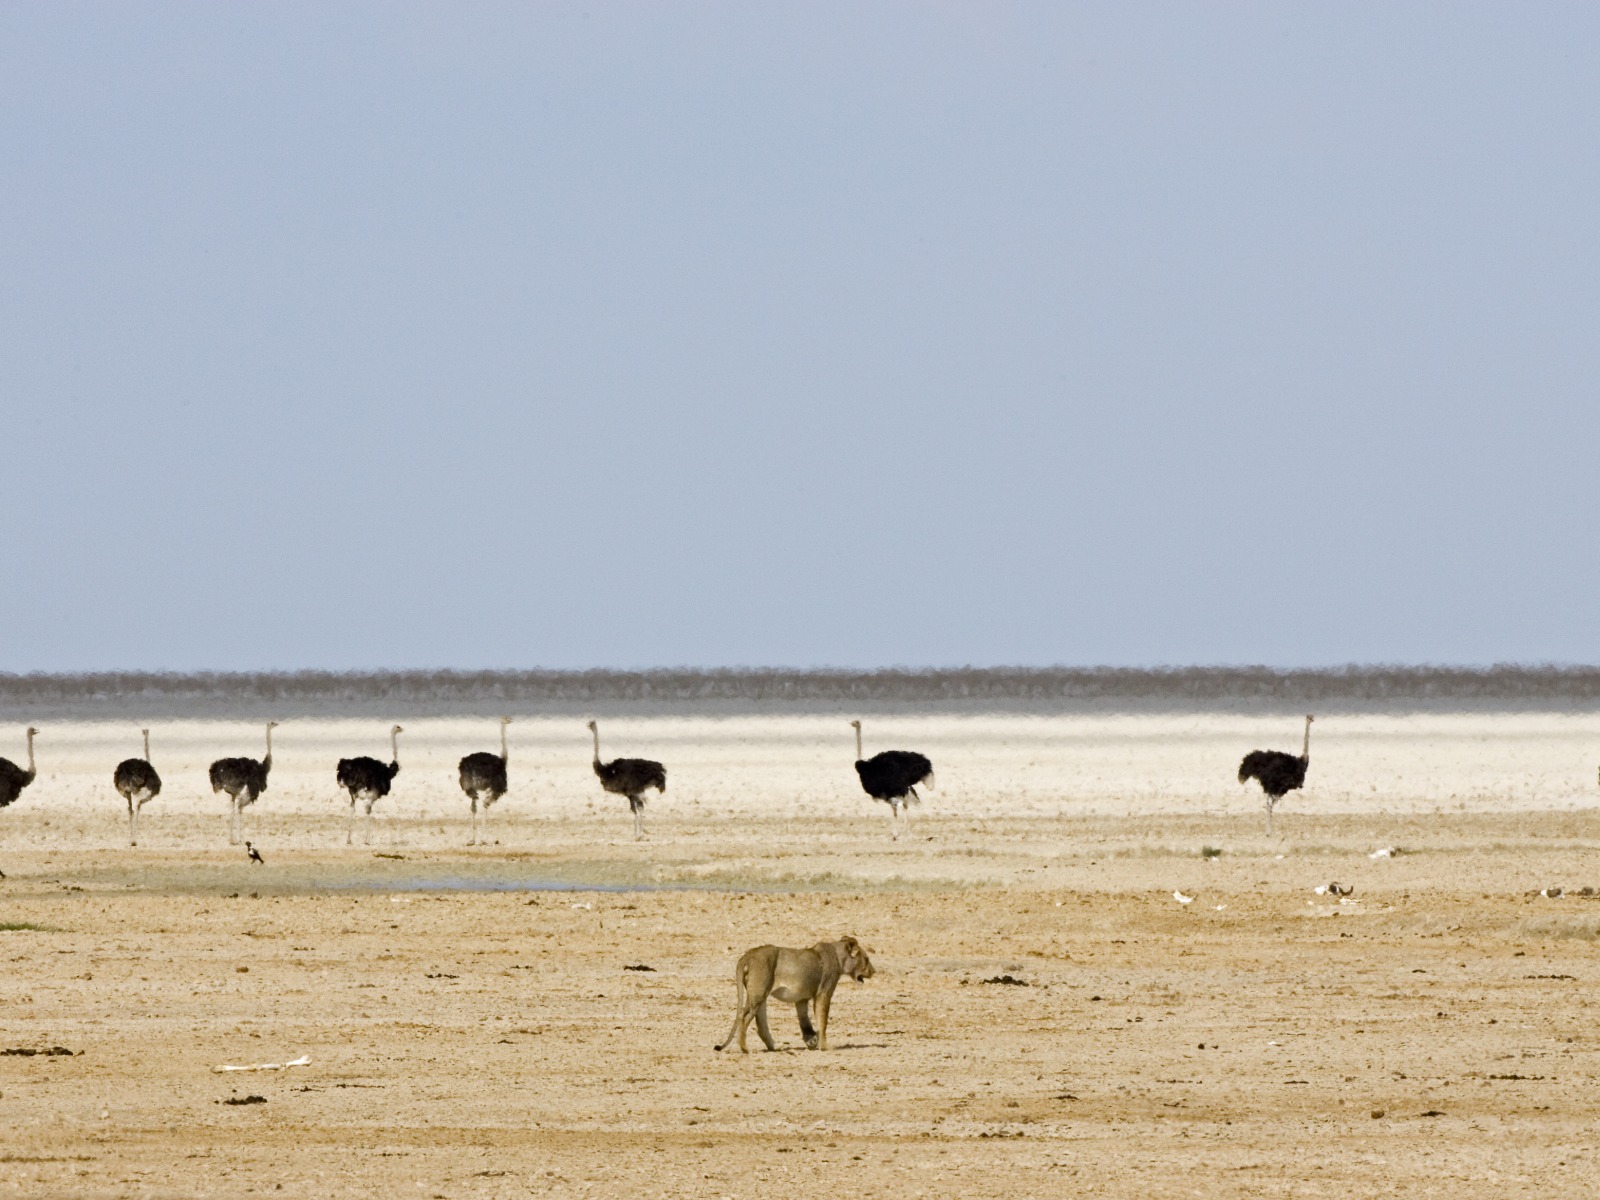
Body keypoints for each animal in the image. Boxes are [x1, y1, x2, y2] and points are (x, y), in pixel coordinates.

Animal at [713, 936, 875, 1053]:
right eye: (866, 959)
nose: (874, 971)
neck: (838, 956)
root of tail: (748, 955)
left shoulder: (801, 998)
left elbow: (805, 1021)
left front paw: (812, 1040)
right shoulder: (824, 992)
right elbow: (822, 1021)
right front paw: (825, 1046)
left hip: (761, 995)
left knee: (761, 1024)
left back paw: (775, 1047)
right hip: (758, 994)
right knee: (744, 1017)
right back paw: (745, 1048)